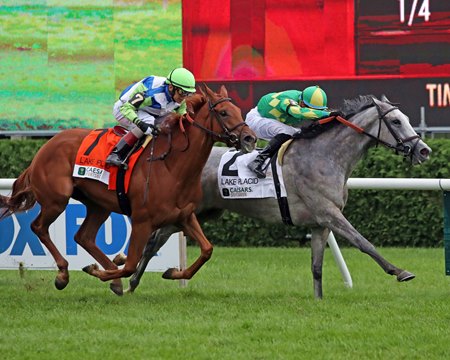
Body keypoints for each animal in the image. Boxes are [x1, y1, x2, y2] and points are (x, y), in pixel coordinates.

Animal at [0, 86, 256, 294]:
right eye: (223, 113)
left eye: (237, 109)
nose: (250, 138)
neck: (171, 165)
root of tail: (43, 149)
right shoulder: (143, 221)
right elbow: (131, 265)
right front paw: (99, 271)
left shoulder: (185, 215)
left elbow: (207, 250)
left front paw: (172, 272)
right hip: (57, 199)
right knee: (38, 227)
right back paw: (63, 274)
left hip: (98, 205)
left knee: (84, 236)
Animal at [117, 94, 432, 300]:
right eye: (396, 121)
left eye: (406, 119)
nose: (424, 150)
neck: (326, 156)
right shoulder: (330, 213)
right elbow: (363, 242)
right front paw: (400, 271)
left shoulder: (320, 223)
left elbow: (317, 266)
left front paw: (318, 300)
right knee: (152, 241)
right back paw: (128, 280)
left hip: (193, 213)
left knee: (153, 242)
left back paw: (130, 282)